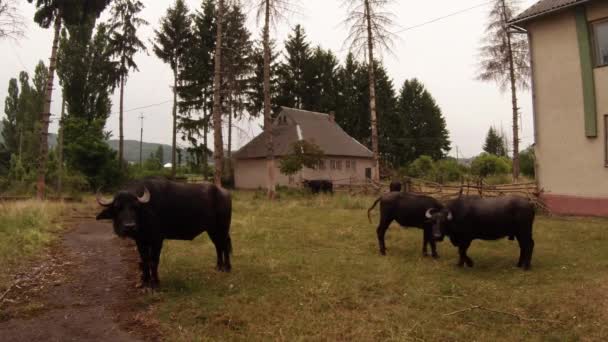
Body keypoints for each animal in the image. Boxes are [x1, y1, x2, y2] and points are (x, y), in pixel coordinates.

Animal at [96, 179, 232, 288]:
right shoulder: (140, 241)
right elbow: (144, 260)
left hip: (223, 228)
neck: (145, 215)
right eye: (117, 208)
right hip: (212, 230)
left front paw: (155, 283)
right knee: (218, 246)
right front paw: (145, 281)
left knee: (224, 245)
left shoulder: (157, 240)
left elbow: (153, 260)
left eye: (135, 207)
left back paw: (227, 268)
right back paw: (219, 267)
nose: (129, 226)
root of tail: (224, 193)